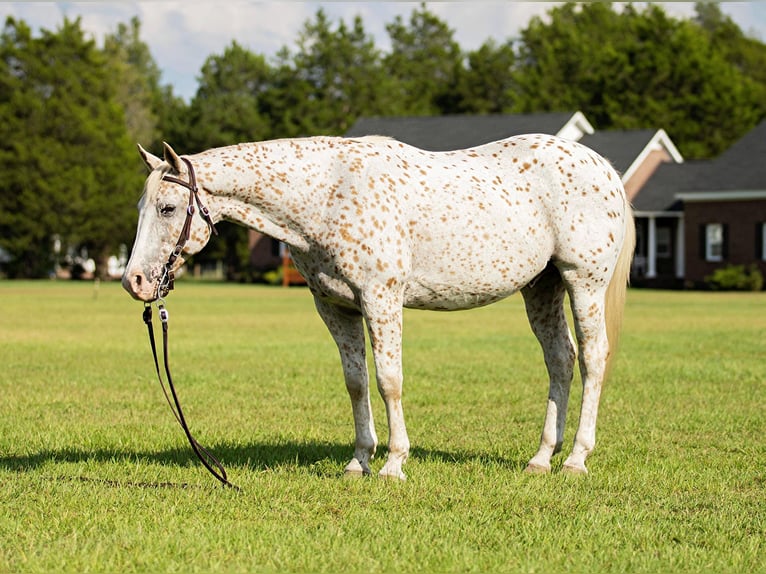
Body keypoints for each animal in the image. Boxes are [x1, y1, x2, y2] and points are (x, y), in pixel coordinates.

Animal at [121, 135, 636, 482]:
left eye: (168, 208)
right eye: (143, 207)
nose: (135, 282)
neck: (327, 193)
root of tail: (604, 169)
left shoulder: (381, 300)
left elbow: (390, 380)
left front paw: (393, 463)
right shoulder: (336, 309)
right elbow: (356, 383)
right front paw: (358, 461)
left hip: (583, 283)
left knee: (593, 360)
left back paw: (576, 459)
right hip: (541, 288)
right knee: (560, 361)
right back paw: (541, 458)